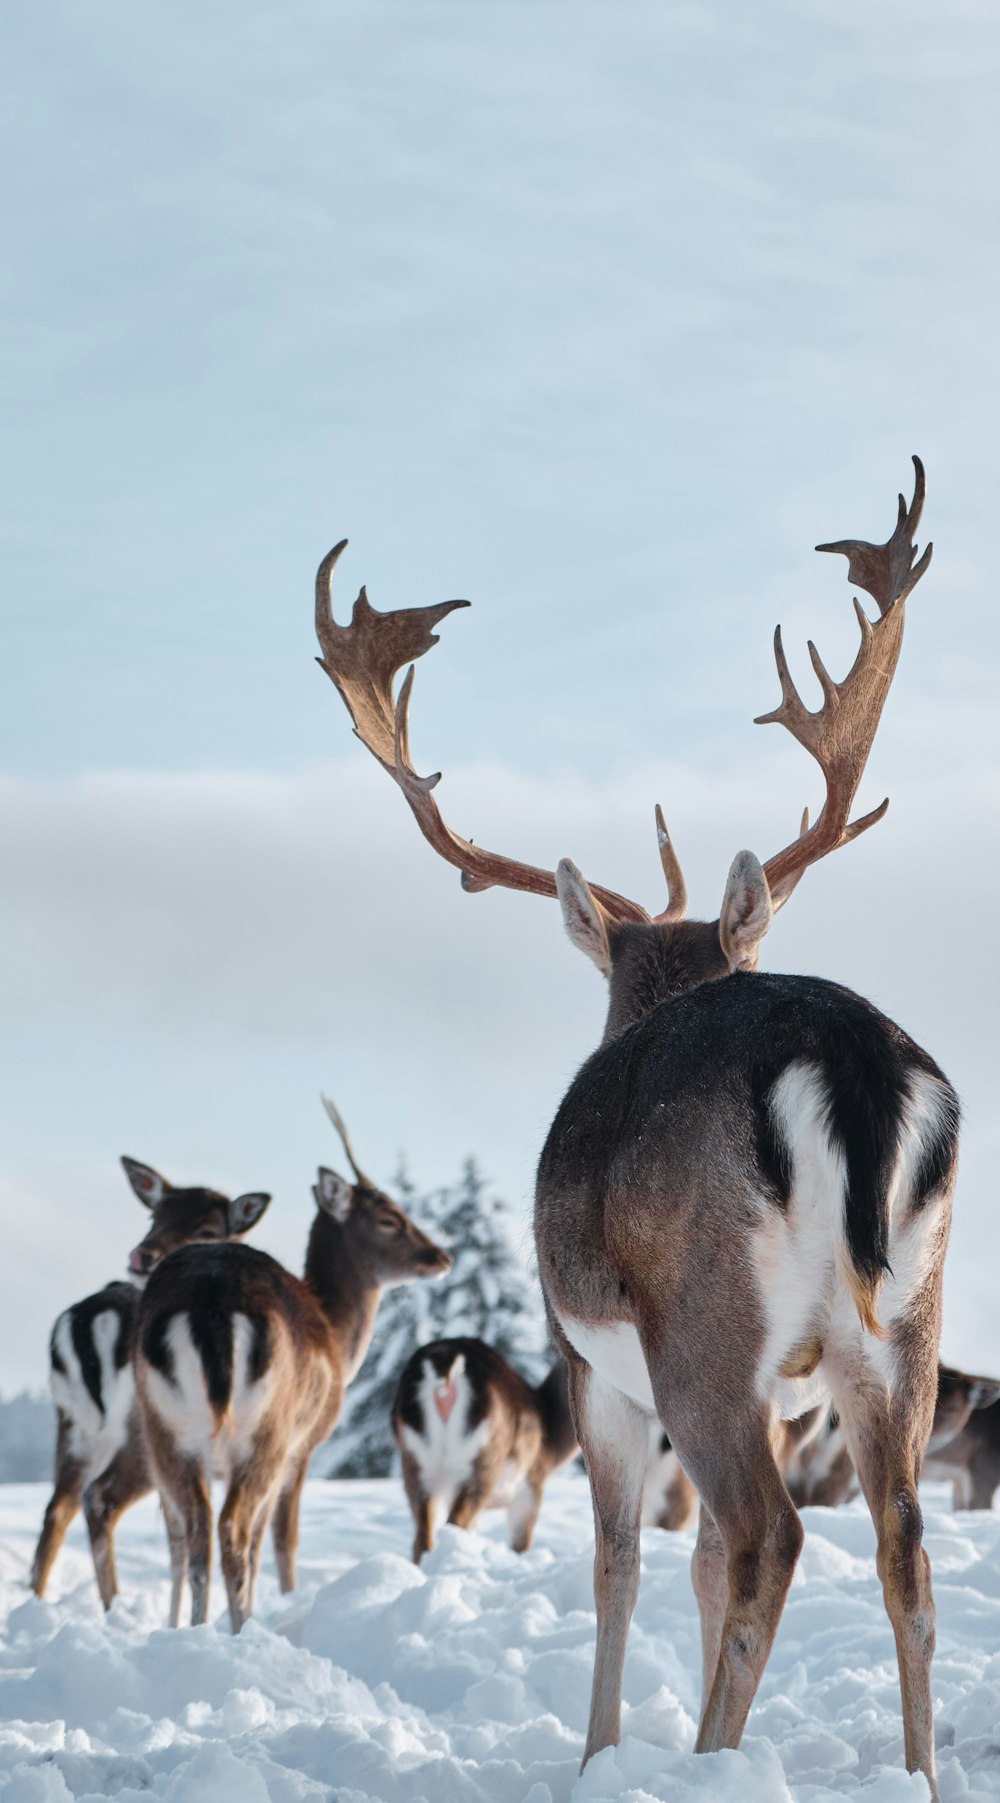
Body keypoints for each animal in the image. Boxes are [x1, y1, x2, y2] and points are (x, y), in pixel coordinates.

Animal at [31, 1161, 273, 1615]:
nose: (142, 1255)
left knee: (58, 1508)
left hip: (73, 1425)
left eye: (206, 1228)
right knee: (99, 1501)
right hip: (140, 1434)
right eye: (155, 1216)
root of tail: (92, 1324)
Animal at [132, 1096, 450, 1637]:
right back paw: (238, 1632)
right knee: (233, 1528)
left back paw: (194, 1632)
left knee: (195, 1532)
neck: (338, 1338)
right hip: (267, 1433)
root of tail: (210, 1305)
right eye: (389, 1217)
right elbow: (282, 1539)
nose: (441, 1255)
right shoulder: (303, 1447)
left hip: (167, 1433)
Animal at [392, 1341, 580, 1565]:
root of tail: (445, 1367)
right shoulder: (531, 1485)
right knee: (456, 1521)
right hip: (482, 1457)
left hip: (415, 1461)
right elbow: (521, 1545)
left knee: (422, 1536)